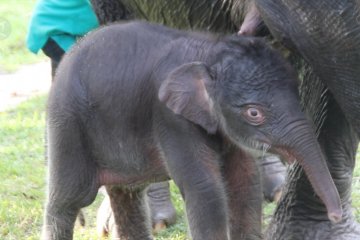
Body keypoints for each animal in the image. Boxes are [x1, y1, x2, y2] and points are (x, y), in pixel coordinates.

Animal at [42, 21, 340, 239]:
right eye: (254, 113)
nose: (335, 216)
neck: (208, 52)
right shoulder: (170, 118)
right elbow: (205, 190)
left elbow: (245, 182)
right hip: (67, 123)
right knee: (68, 200)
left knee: (126, 195)